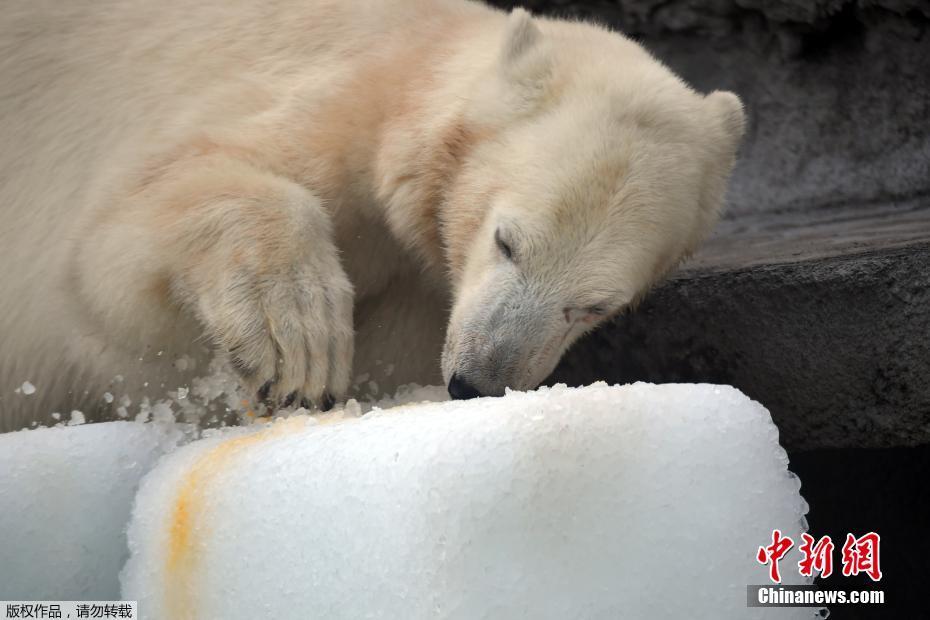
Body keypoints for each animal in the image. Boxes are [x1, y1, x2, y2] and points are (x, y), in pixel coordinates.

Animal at [0, 0, 744, 432]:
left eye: (593, 307)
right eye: (507, 242)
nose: (475, 381)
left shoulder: (421, 288)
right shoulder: (335, 101)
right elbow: (112, 255)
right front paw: (298, 344)